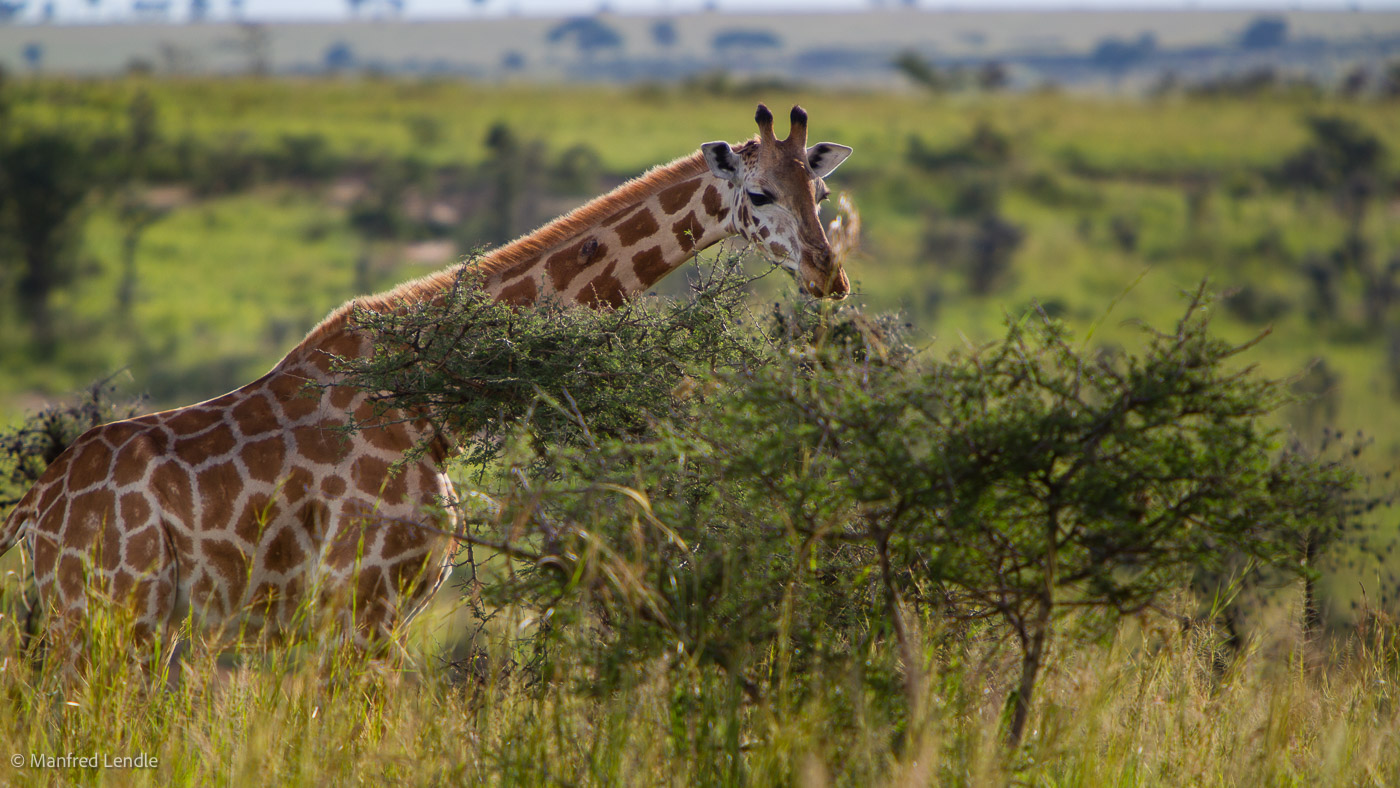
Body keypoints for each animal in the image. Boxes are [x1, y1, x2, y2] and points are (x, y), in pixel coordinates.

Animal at [0, 101, 851, 674]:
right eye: (761, 196)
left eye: (821, 197)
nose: (828, 276)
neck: (435, 401)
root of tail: (34, 509)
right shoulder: (362, 606)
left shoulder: (384, 612)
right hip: (109, 616)